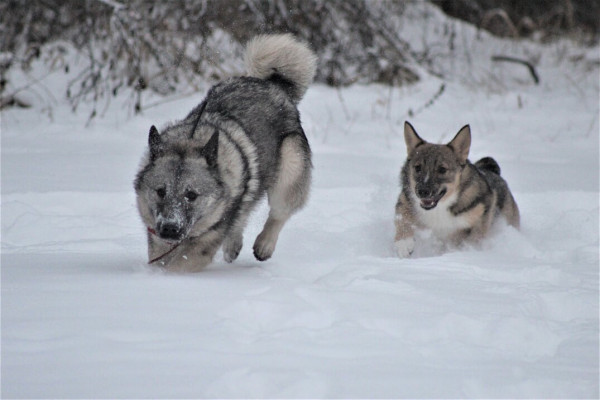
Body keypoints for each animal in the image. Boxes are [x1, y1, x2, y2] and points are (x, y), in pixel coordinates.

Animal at [133, 35, 316, 272]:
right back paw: (233, 245)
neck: (192, 139)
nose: (170, 229)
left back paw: (264, 244)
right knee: (245, 213)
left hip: (290, 168)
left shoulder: (206, 240)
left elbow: (180, 264)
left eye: (191, 195)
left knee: (279, 212)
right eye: (160, 191)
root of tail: (274, 84)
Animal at [394, 121, 520, 256]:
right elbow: (403, 219)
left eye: (442, 169)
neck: (440, 208)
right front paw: (404, 245)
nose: (422, 192)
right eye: (417, 167)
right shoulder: (405, 201)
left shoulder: (480, 213)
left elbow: (470, 236)